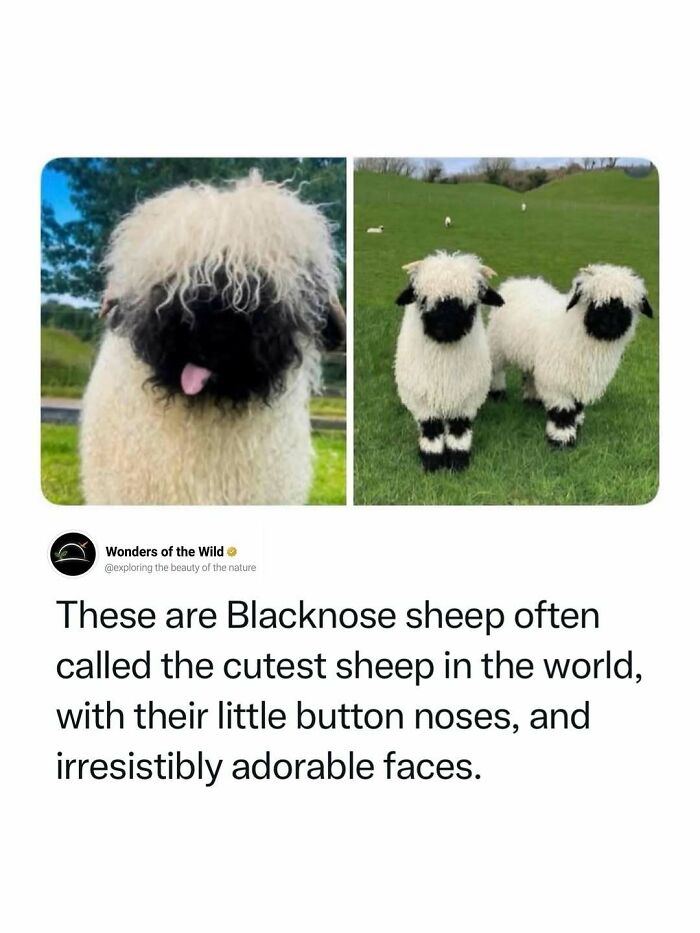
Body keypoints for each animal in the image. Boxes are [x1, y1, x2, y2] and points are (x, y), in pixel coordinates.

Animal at [394, 251, 504, 471]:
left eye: (471, 303)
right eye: (423, 300)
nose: (445, 329)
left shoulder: (466, 399)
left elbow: (459, 430)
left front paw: (458, 461)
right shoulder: (422, 400)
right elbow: (431, 429)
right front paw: (431, 462)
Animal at [486, 264, 654, 448]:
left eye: (624, 306)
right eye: (592, 301)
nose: (608, 324)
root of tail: (518, 281)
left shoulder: (578, 377)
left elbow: (577, 405)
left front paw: (577, 422)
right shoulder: (558, 378)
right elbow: (563, 411)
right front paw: (562, 439)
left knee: (530, 374)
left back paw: (532, 399)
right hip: (496, 346)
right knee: (496, 370)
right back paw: (497, 394)